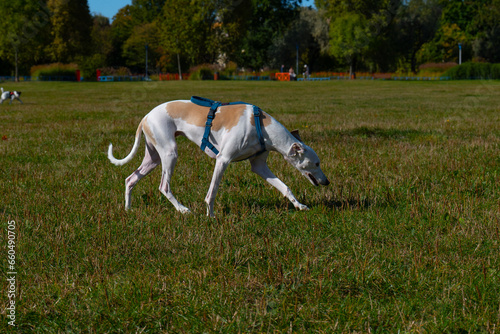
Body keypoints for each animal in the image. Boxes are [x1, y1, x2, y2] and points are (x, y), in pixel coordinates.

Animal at [107, 96, 330, 217]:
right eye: (316, 163)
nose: (326, 182)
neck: (261, 125)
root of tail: (146, 116)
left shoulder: (259, 166)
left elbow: (285, 187)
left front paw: (299, 205)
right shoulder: (223, 160)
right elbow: (212, 192)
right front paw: (211, 215)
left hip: (153, 158)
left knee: (130, 179)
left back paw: (128, 209)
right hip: (170, 153)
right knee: (164, 186)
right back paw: (182, 210)